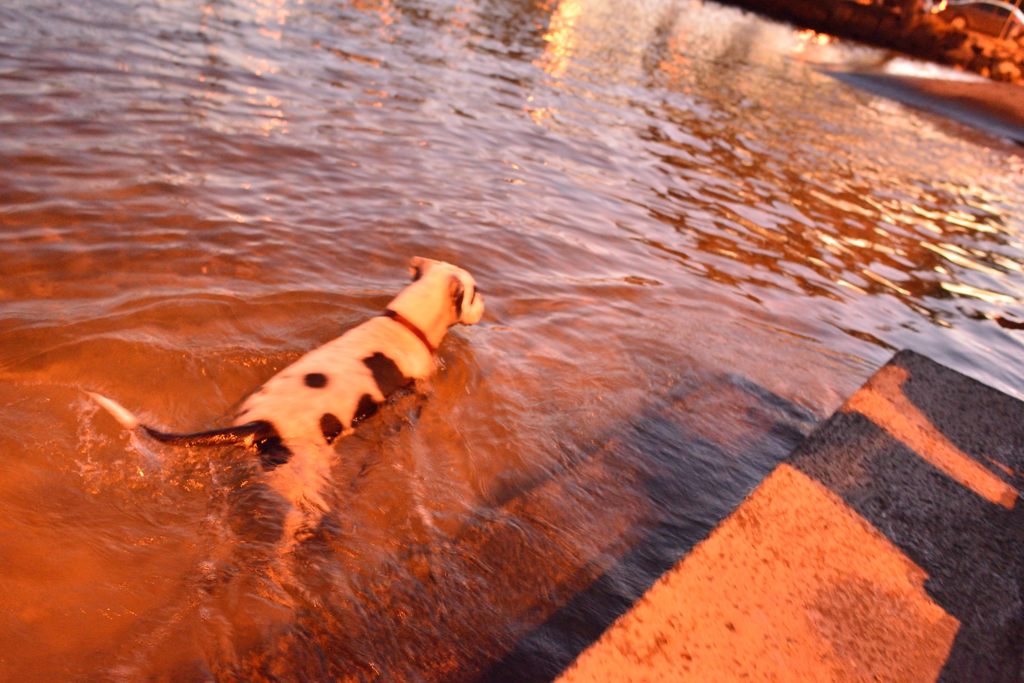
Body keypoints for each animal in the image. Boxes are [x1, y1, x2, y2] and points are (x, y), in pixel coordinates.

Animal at [90, 258, 485, 540]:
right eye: (476, 290)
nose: (487, 304)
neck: (405, 323)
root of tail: (260, 423)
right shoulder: (418, 391)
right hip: (302, 485)